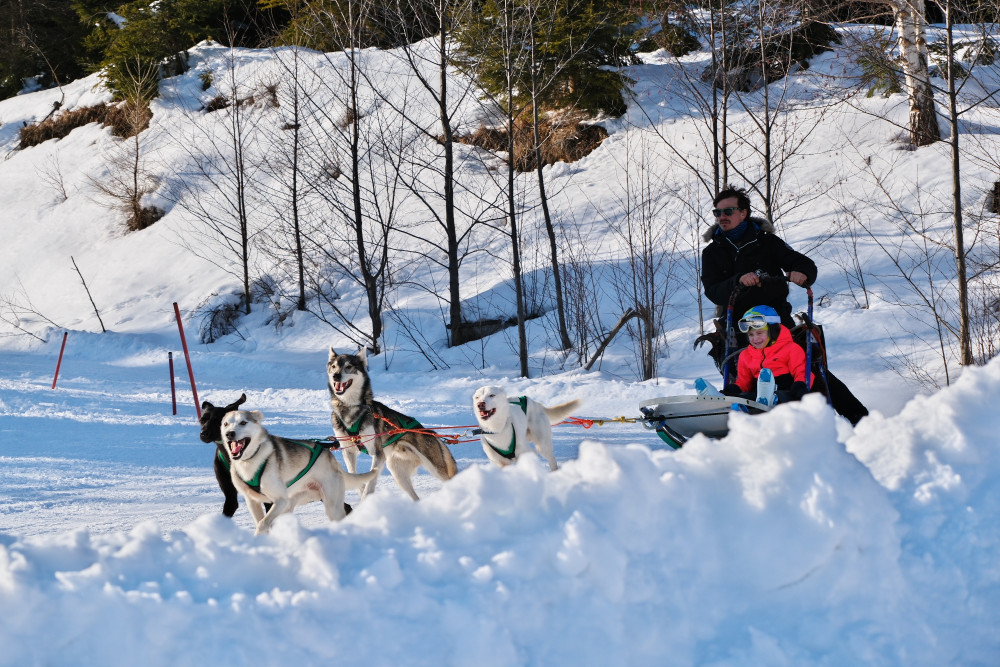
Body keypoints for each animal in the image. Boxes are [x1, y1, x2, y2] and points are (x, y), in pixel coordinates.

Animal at [221, 410, 376, 536]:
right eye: (226, 424)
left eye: (243, 422)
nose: (229, 434)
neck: (251, 460)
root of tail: (331, 458)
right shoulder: (252, 501)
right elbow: (260, 521)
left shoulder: (280, 500)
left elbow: (262, 523)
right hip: (292, 503)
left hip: (332, 506)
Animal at [328, 350, 458, 500]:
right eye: (334, 366)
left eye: (348, 366)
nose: (336, 375)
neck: (350, 409)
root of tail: (432, 433)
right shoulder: (348, 452)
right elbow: (357, 479)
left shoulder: (378, 454)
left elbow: (370, 483)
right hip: (397, 473)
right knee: (415, 497)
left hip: (436, 468)